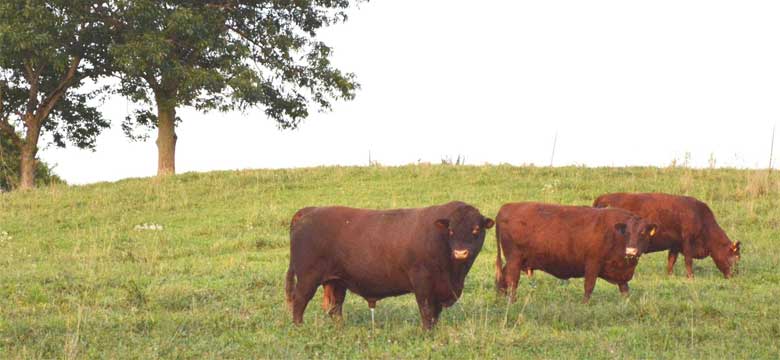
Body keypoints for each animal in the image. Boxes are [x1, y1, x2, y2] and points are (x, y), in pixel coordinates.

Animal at [286, 201, 494, 330]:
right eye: (450, 231)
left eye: (476, 229)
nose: (460, 252)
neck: (454, 274)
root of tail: (310, 210)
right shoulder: (422, 281)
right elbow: (426, 309)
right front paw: (427, 332)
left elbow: (435, 312)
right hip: (308, 277)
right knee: (299, 300)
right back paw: (298, 327)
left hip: (337, 281)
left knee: (334, 306)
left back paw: (340, 328)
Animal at [496, 204, 656, 302]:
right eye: (627, 233)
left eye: (643, 233)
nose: (631, 251)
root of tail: (507, 207)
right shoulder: (592, 263)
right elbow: (589, 286)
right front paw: (585, 305)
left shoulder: (621, 272)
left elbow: (625, 290)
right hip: (514, 260)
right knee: (512, 281)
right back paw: (512, 301)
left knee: (502, 277)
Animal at [596, 191, 740, 278]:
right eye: (735, 257)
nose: (734, 275)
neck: (700, 217)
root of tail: (604, 198)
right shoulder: (687, 241)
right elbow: (688, 260)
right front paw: (690, 277)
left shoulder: (675, 245)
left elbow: (671, 260)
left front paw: (670, 275)